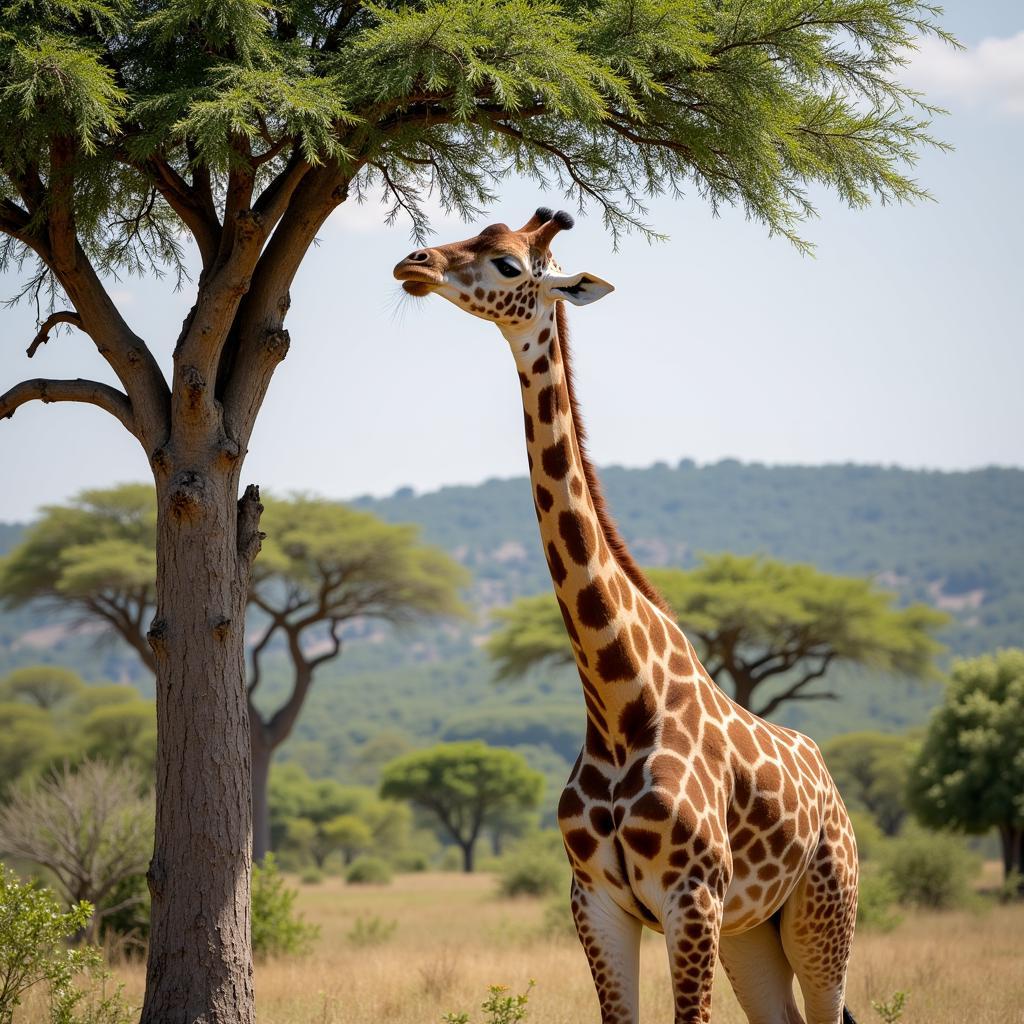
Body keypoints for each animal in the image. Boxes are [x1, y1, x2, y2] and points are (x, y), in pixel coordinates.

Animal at [395, 209, 860, 1024]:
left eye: (508, 262)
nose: (412, 264)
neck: (618, 704)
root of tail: (833, 790)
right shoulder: (597, 900)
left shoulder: (690, 896)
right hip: (754, 930)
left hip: (823, 913)